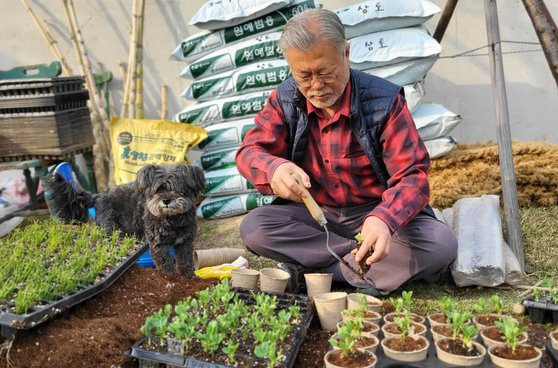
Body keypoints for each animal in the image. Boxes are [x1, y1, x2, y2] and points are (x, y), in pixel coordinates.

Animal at [47, 164, 206, 276]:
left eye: (177, 190)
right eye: (158, 190)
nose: (166, 200)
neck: (172, 218)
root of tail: (98, 196)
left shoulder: (185, 242)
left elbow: (185, 262)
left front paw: (189, 278)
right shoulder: (158, 244)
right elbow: (165, 263)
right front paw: (170, 278)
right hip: (109, 230)